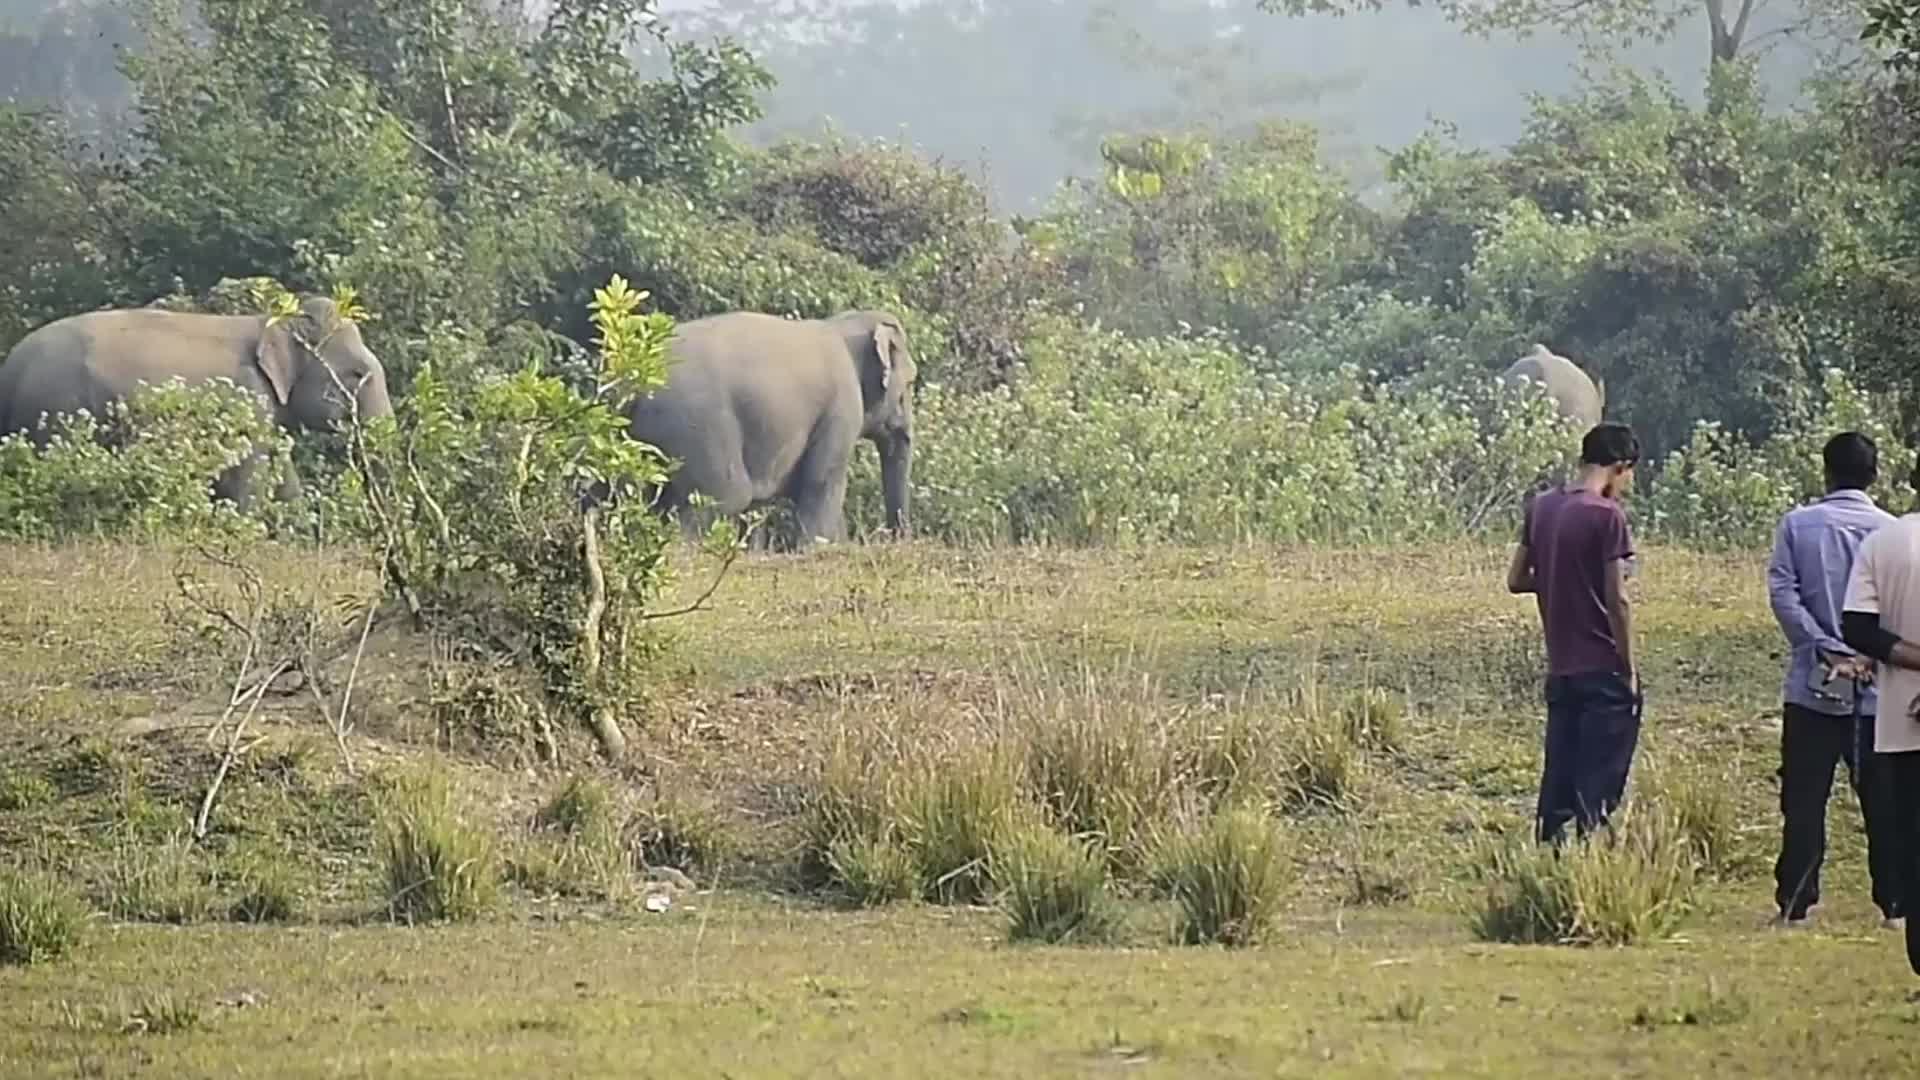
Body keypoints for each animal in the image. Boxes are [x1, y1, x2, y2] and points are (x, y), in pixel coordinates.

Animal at [0, 296, 393, 508]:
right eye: (357, 374)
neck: (270, 322)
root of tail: (10, 367)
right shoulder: (248, 395)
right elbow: (249, 477)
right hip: (55, 411)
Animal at [622, 309, 916, 550]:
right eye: (911, 381)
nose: (894, 537)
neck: (844, 324)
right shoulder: (842, 408)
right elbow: (821, 481)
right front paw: (812, 549)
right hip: (698, 427)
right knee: (722, 498)